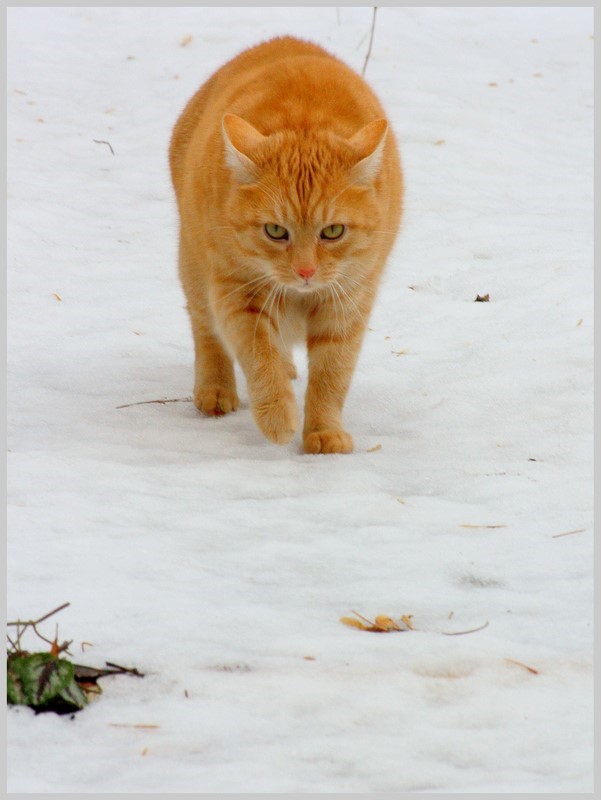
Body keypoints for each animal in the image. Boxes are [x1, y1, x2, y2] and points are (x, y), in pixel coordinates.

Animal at [171, 36, 400, 450]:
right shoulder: (237, 295)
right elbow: (260, 358)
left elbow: (332, 374)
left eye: (333, 231)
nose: (305, 271)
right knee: (206, 331)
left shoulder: (348, 303)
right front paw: (277, 414)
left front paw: (324, 430)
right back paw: (216, 389)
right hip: (195, 269)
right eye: (276, 231)